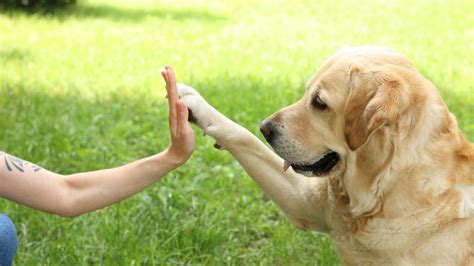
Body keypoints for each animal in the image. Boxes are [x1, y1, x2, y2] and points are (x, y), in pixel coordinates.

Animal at [176, 46, 472, 264]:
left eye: (319, 103)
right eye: (306, 91)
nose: (265, 128)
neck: (383, 188)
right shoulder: (305, 204)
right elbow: (243, 137)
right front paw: (193, 102)